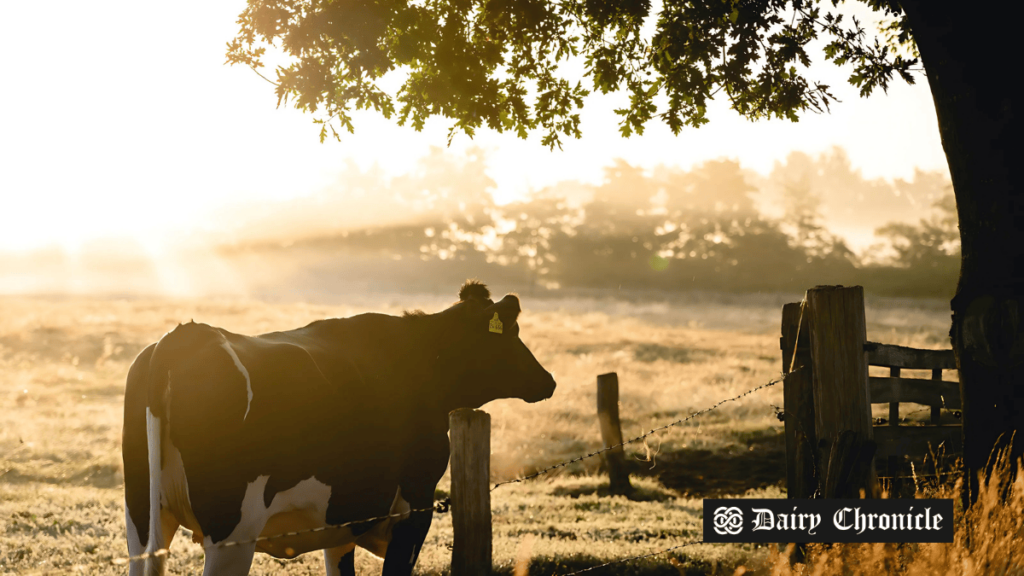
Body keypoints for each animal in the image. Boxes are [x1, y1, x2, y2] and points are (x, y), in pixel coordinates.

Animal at [122, 280, 557, 573]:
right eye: (512, 334)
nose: (548, 381)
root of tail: (185, 335)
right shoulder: (414, 509)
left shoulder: (343, 519)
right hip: (231, 532)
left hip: (143, 520)